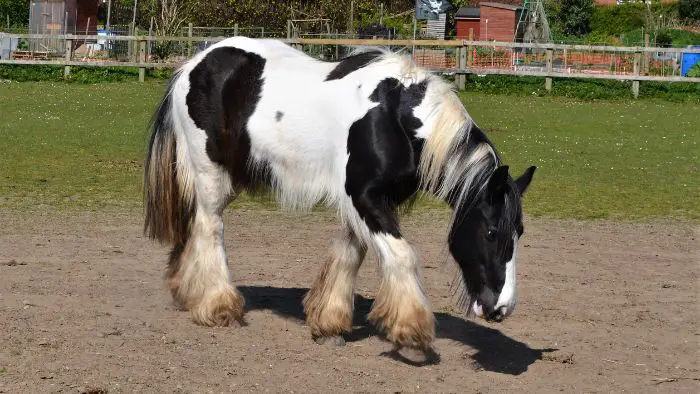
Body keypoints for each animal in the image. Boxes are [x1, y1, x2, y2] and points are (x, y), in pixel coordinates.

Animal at [142, 36, 536, 350]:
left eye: (519, 232)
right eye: (491, 232)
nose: (501, 309)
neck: (394, 118)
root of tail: (194, 64)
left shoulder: (369, 201)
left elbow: (350, 253)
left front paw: (328, 323)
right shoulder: (364, 197)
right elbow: (402, 255)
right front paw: (411, 327)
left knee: (195, 225)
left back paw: (187, 291)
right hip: (210, 173)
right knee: (210, 228)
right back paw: (218, 305)